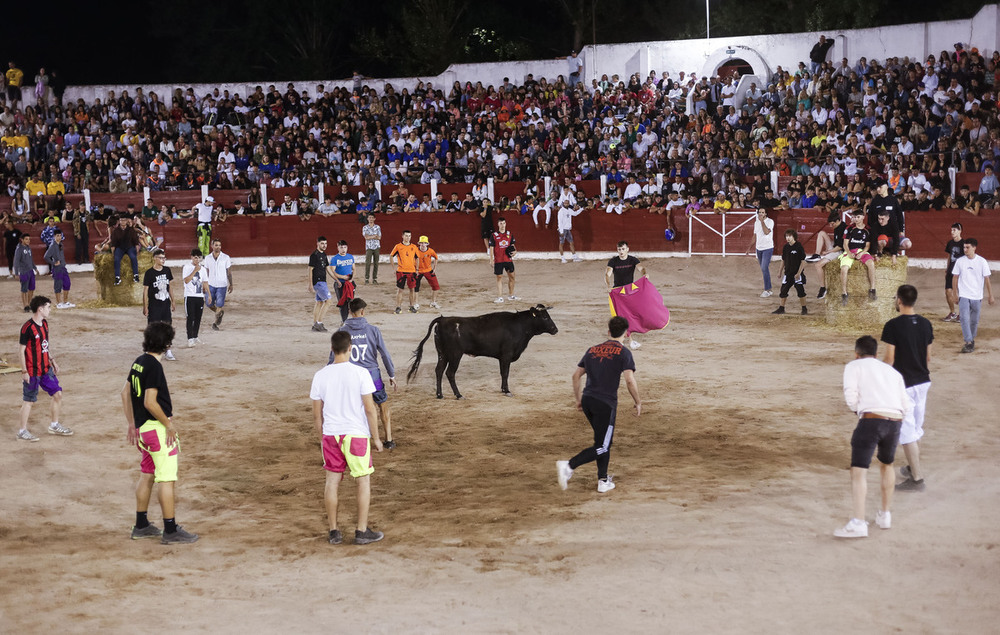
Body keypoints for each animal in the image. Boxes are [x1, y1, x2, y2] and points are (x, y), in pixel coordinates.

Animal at [408, 306, 564, 400]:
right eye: (544, 317)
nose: (555, 329)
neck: (520, 326)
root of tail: (443, 319)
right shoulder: (506, 355)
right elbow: (505, 373)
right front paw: (507, 391)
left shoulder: (502, 357)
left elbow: (502, 373)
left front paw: (503, 389)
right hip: (455, 354)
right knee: (449, 373)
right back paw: (458, 395)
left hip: (442, 353)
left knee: (439, 371)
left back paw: (440, 395)